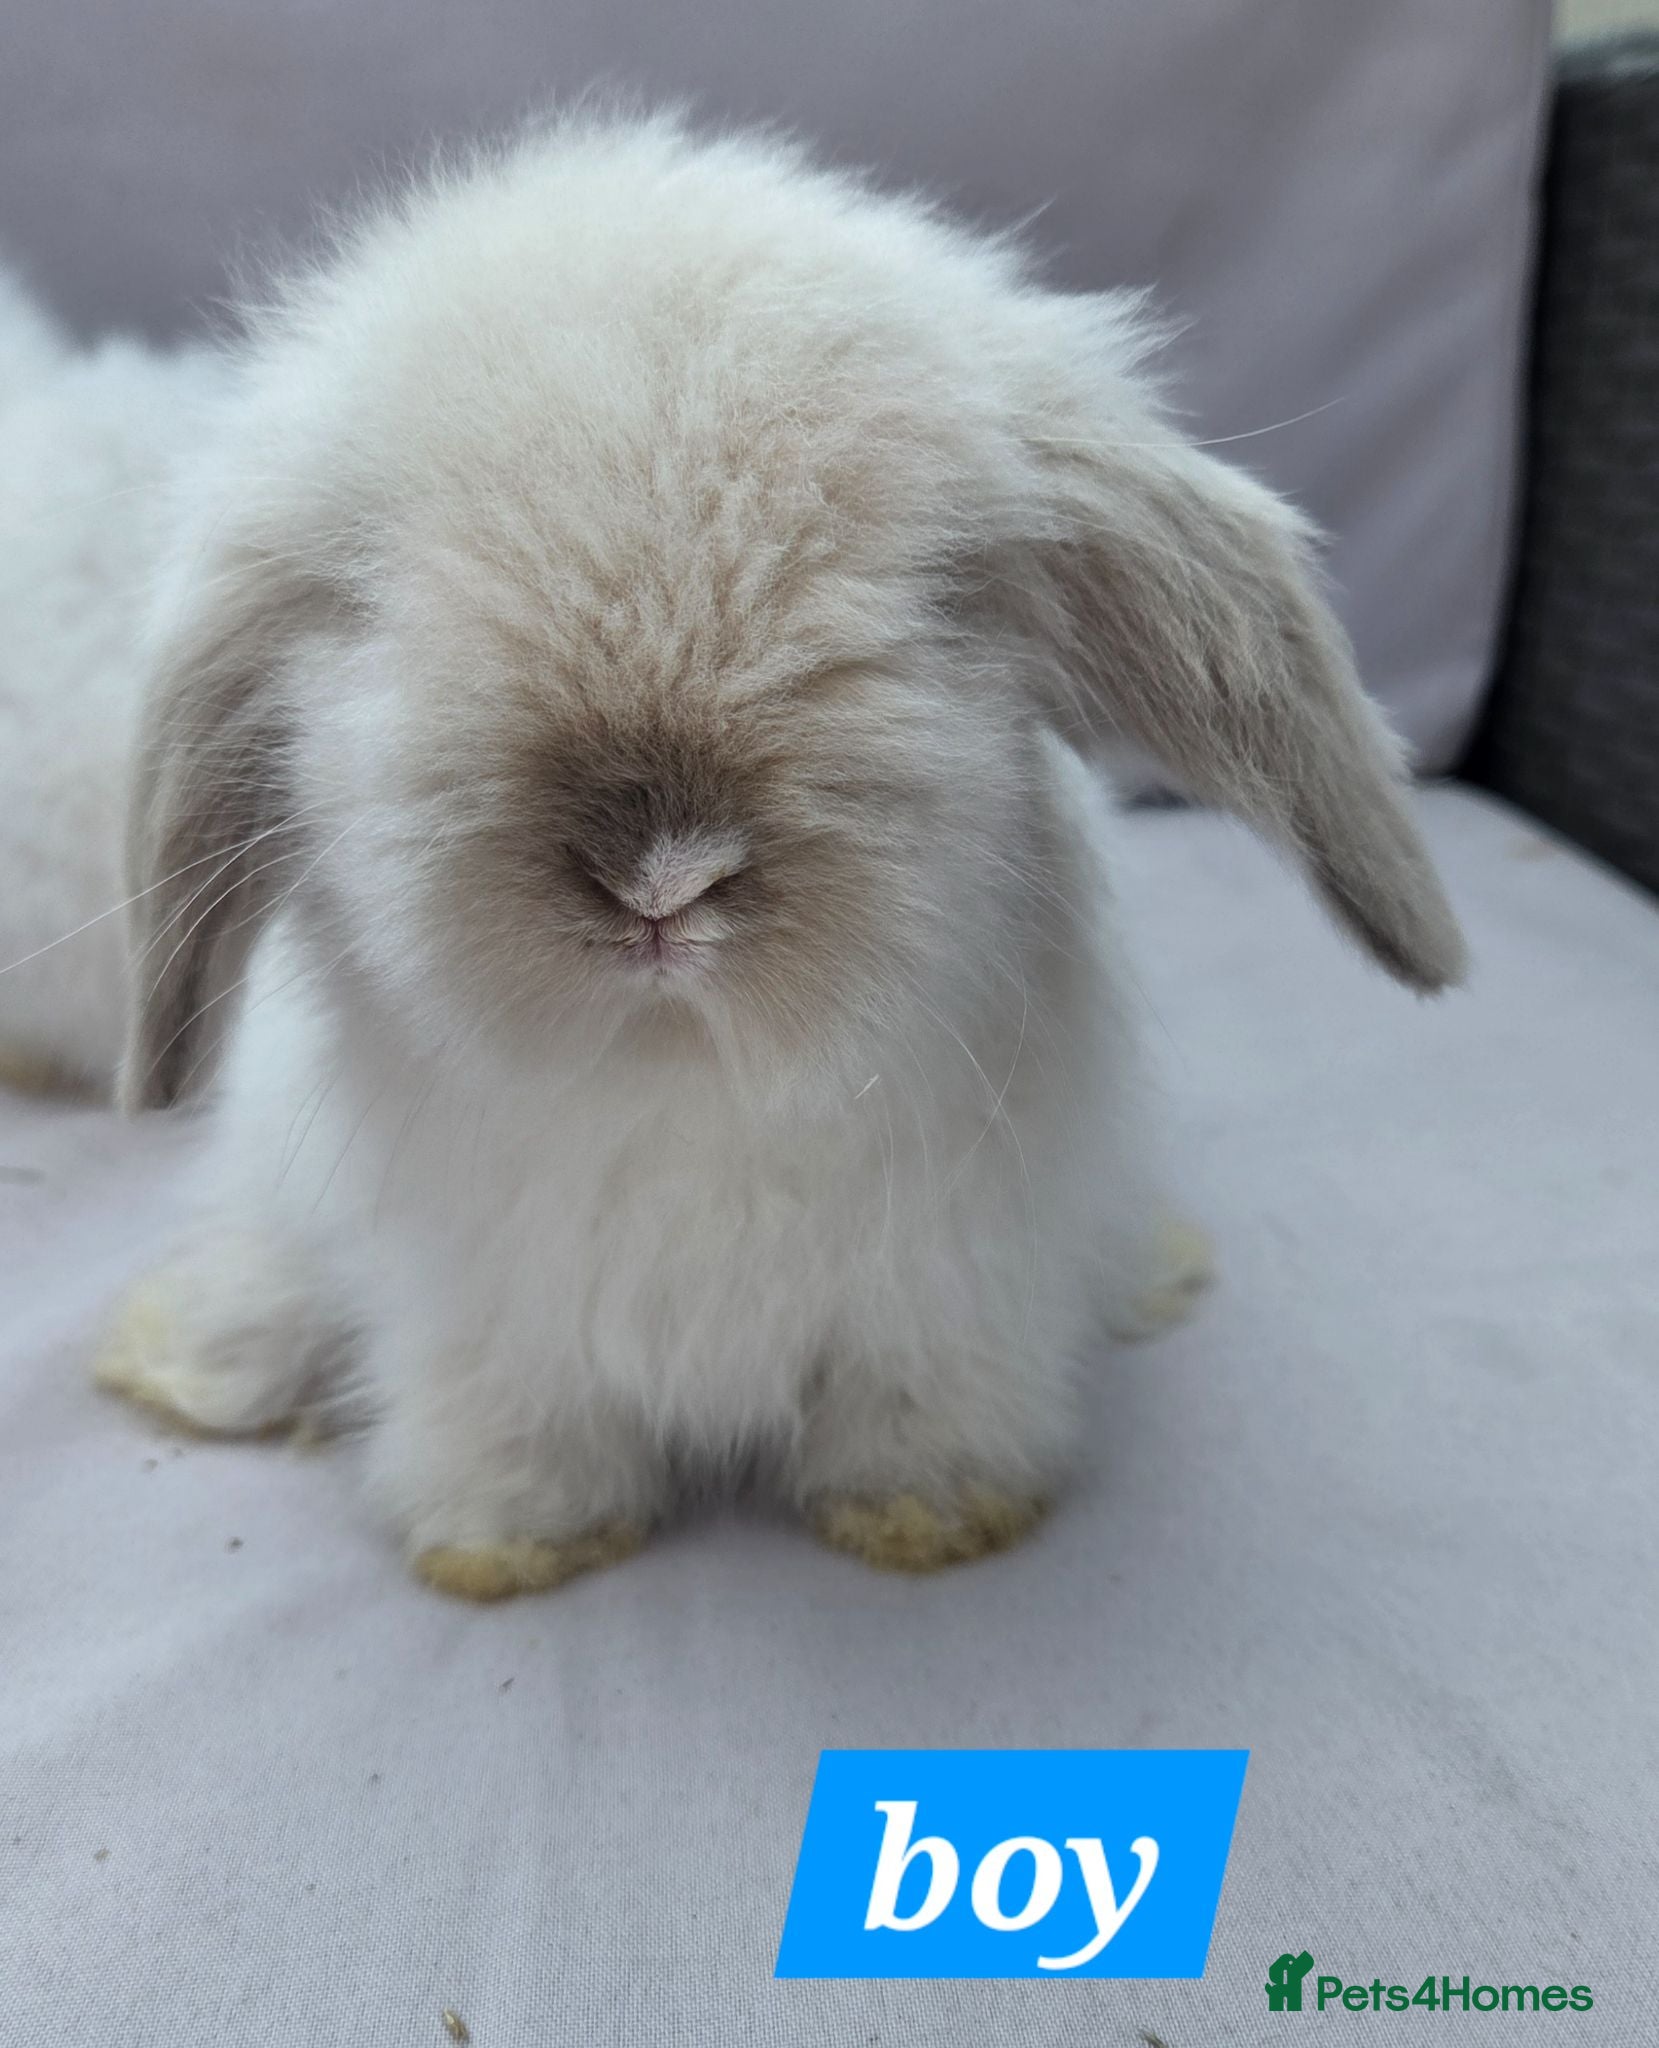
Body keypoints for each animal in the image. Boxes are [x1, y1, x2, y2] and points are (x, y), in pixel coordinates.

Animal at [8, 115, 1465, 1597]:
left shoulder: (950, 1296)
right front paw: (511, 1541)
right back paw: (188, 1352)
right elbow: (505, 1417)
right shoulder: (480, 1320)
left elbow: (926, 1406)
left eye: (939, 595)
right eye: (366, 598)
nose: (660, 875)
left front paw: (933, 1518)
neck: (683, 1076)